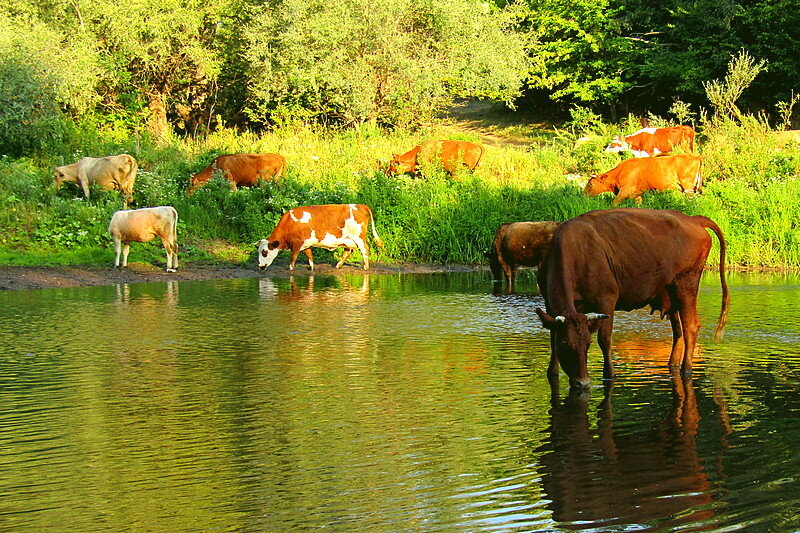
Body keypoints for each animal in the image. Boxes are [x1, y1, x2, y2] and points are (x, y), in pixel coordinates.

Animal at [536, 207, 728, 386]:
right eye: (564, 344)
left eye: (588, 344)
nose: (582, 381)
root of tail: (693, 219)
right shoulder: (548, 304)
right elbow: (552, 337)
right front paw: (552, 372)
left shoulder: (607, 299)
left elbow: (604, 339)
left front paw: (609, 374)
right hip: (671, 291)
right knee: (678, 330)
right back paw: (672, 364)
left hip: (687, 283)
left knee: (690, 326)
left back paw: (686, 369)